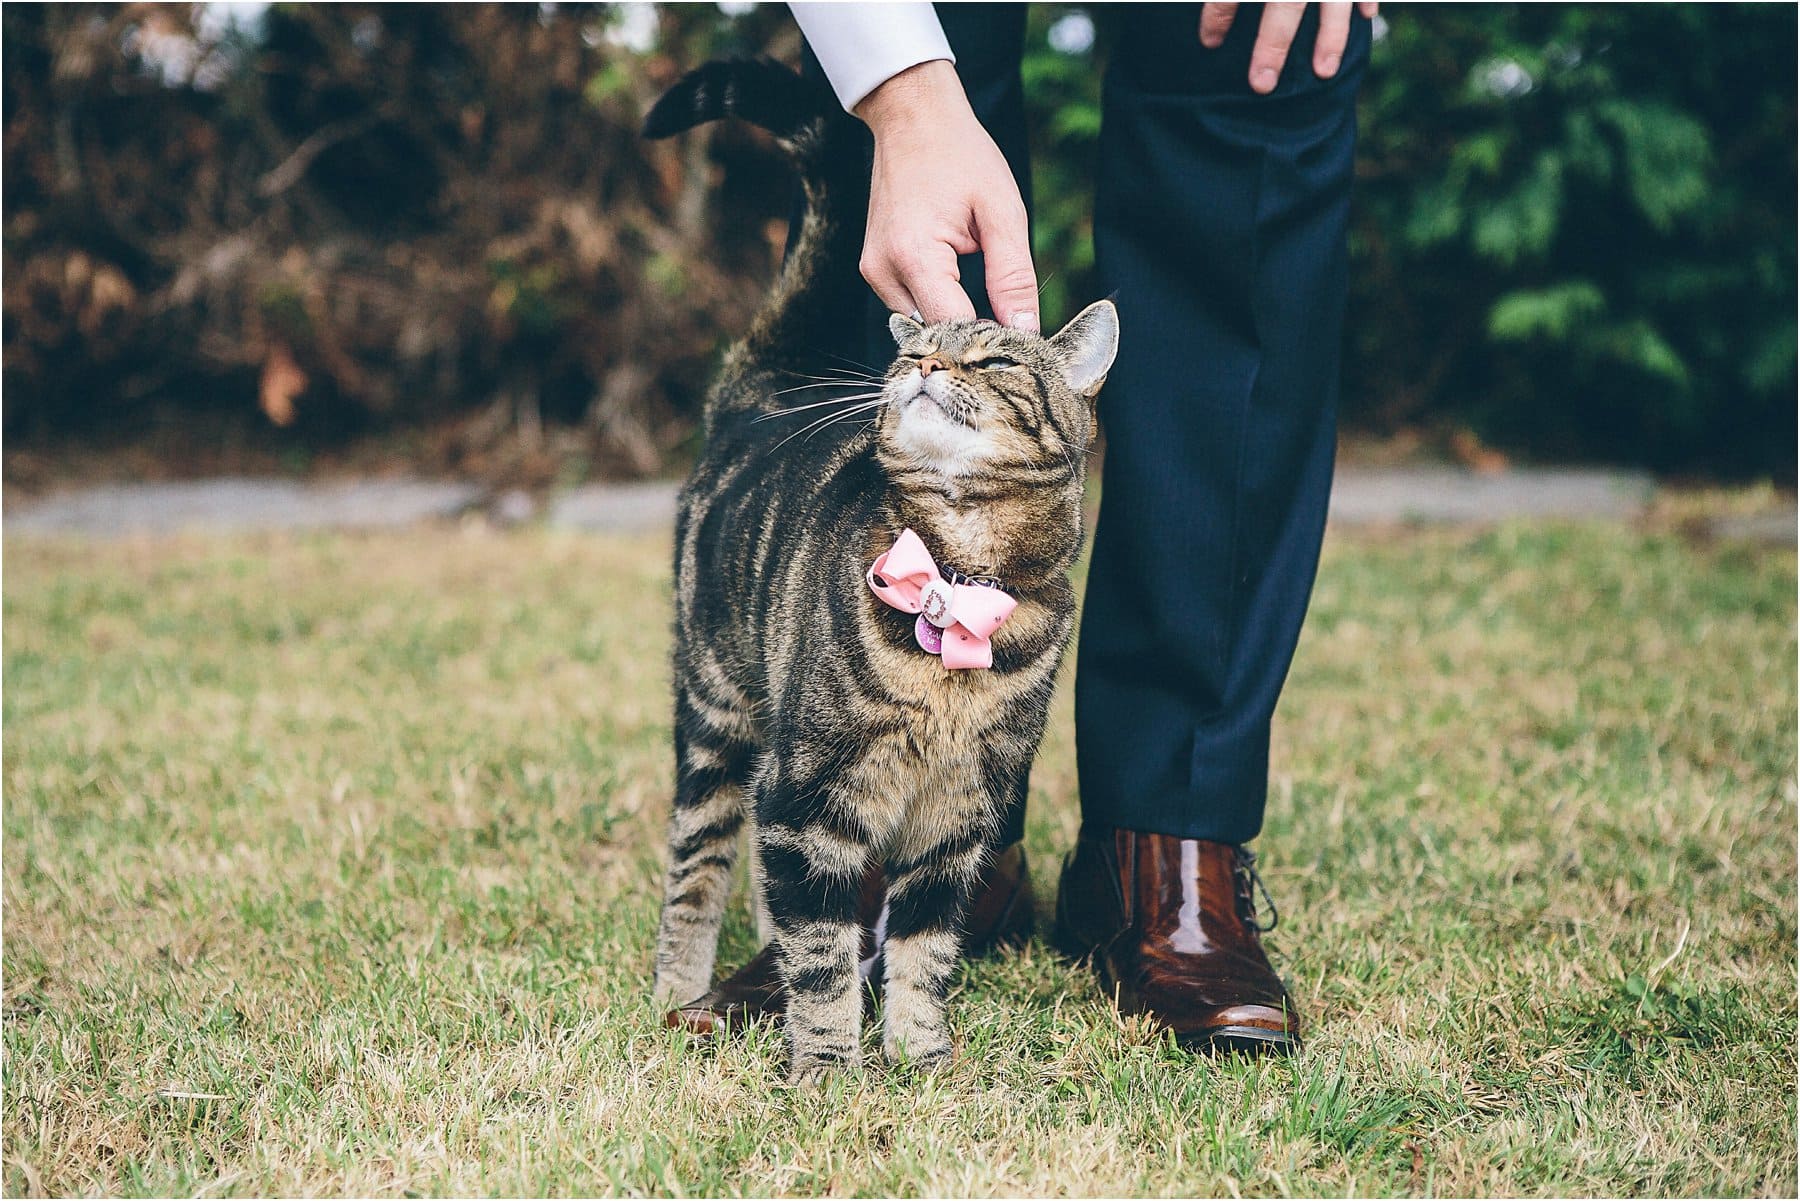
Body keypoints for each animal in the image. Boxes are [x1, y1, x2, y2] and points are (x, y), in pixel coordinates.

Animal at [648, 61, 1116, 1087]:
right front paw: (827, 1071)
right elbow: (825, 953)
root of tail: (766, 389)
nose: (925, 362)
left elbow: (922, 951)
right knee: (698, 864)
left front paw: (921, 1055)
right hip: (717, 717)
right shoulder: (812, 802)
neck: (957, 574)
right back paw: (679, 991)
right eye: (913, 346)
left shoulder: (957, 820)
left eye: (992, 355)